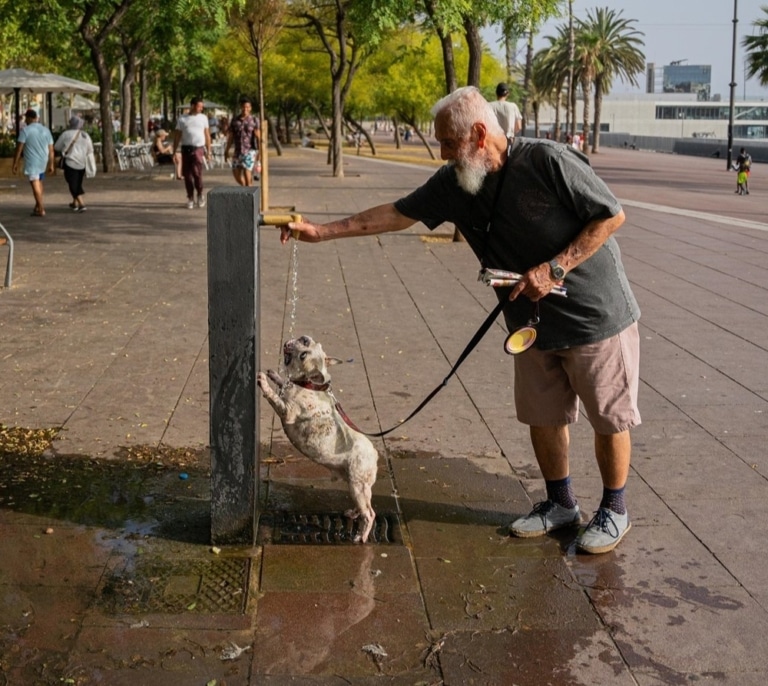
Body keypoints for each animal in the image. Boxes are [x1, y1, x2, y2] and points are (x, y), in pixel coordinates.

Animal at [256, 336, 380, 544]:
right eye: (305, 340)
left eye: (303, 355)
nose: (296, 342)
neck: (308, 384)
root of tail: (375, 454)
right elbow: (282, 384)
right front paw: (274, 376)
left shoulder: (287, 411)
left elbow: (274, 397)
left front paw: (264, 382)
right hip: (356, 486)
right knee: (365, 506)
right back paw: (354, 514)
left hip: (358, 485)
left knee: (370, 514)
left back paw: (360, 536)